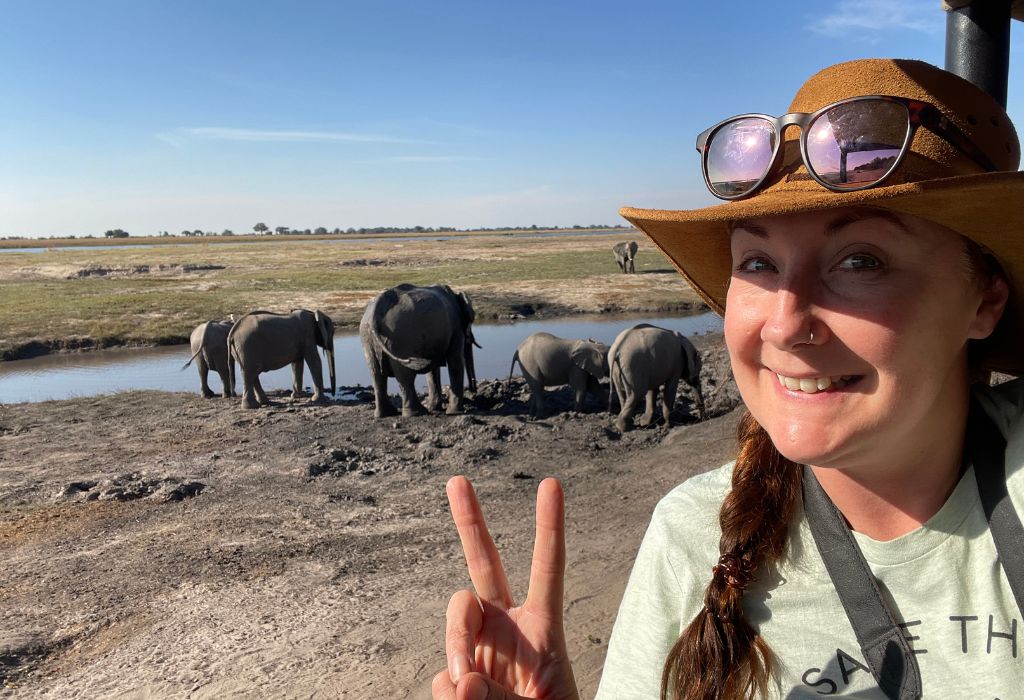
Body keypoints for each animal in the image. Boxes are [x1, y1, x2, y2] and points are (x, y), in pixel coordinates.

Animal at [360, 282, 479, 417]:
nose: (474, 390)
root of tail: (376, 308)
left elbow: (433, 370)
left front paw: (435, 408)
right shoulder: (456, 326)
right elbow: (455, 361)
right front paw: (456, 412)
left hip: (367, 337)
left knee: (377, 375)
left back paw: (386, 414)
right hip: (400, 338)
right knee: (405, 376)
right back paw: (417, 412)